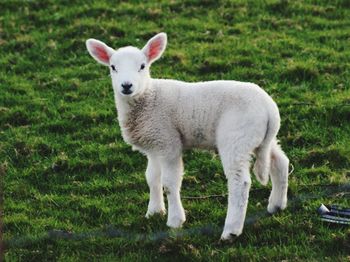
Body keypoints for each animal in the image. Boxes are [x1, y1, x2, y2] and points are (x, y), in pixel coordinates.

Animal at [86, 32, 288, 239]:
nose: (126, 86)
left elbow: (170, 182)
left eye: (142, 66)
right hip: (260, 138)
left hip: (236, 139)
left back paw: (231, 231)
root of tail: (269, 109)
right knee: (280, 161)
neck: (148, 97)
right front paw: (154, 211)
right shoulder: (154, 144)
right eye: (113, 67)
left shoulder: (168, 143)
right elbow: (151, 177)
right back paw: (276, 205)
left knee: (240, 183)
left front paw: (175, 220)